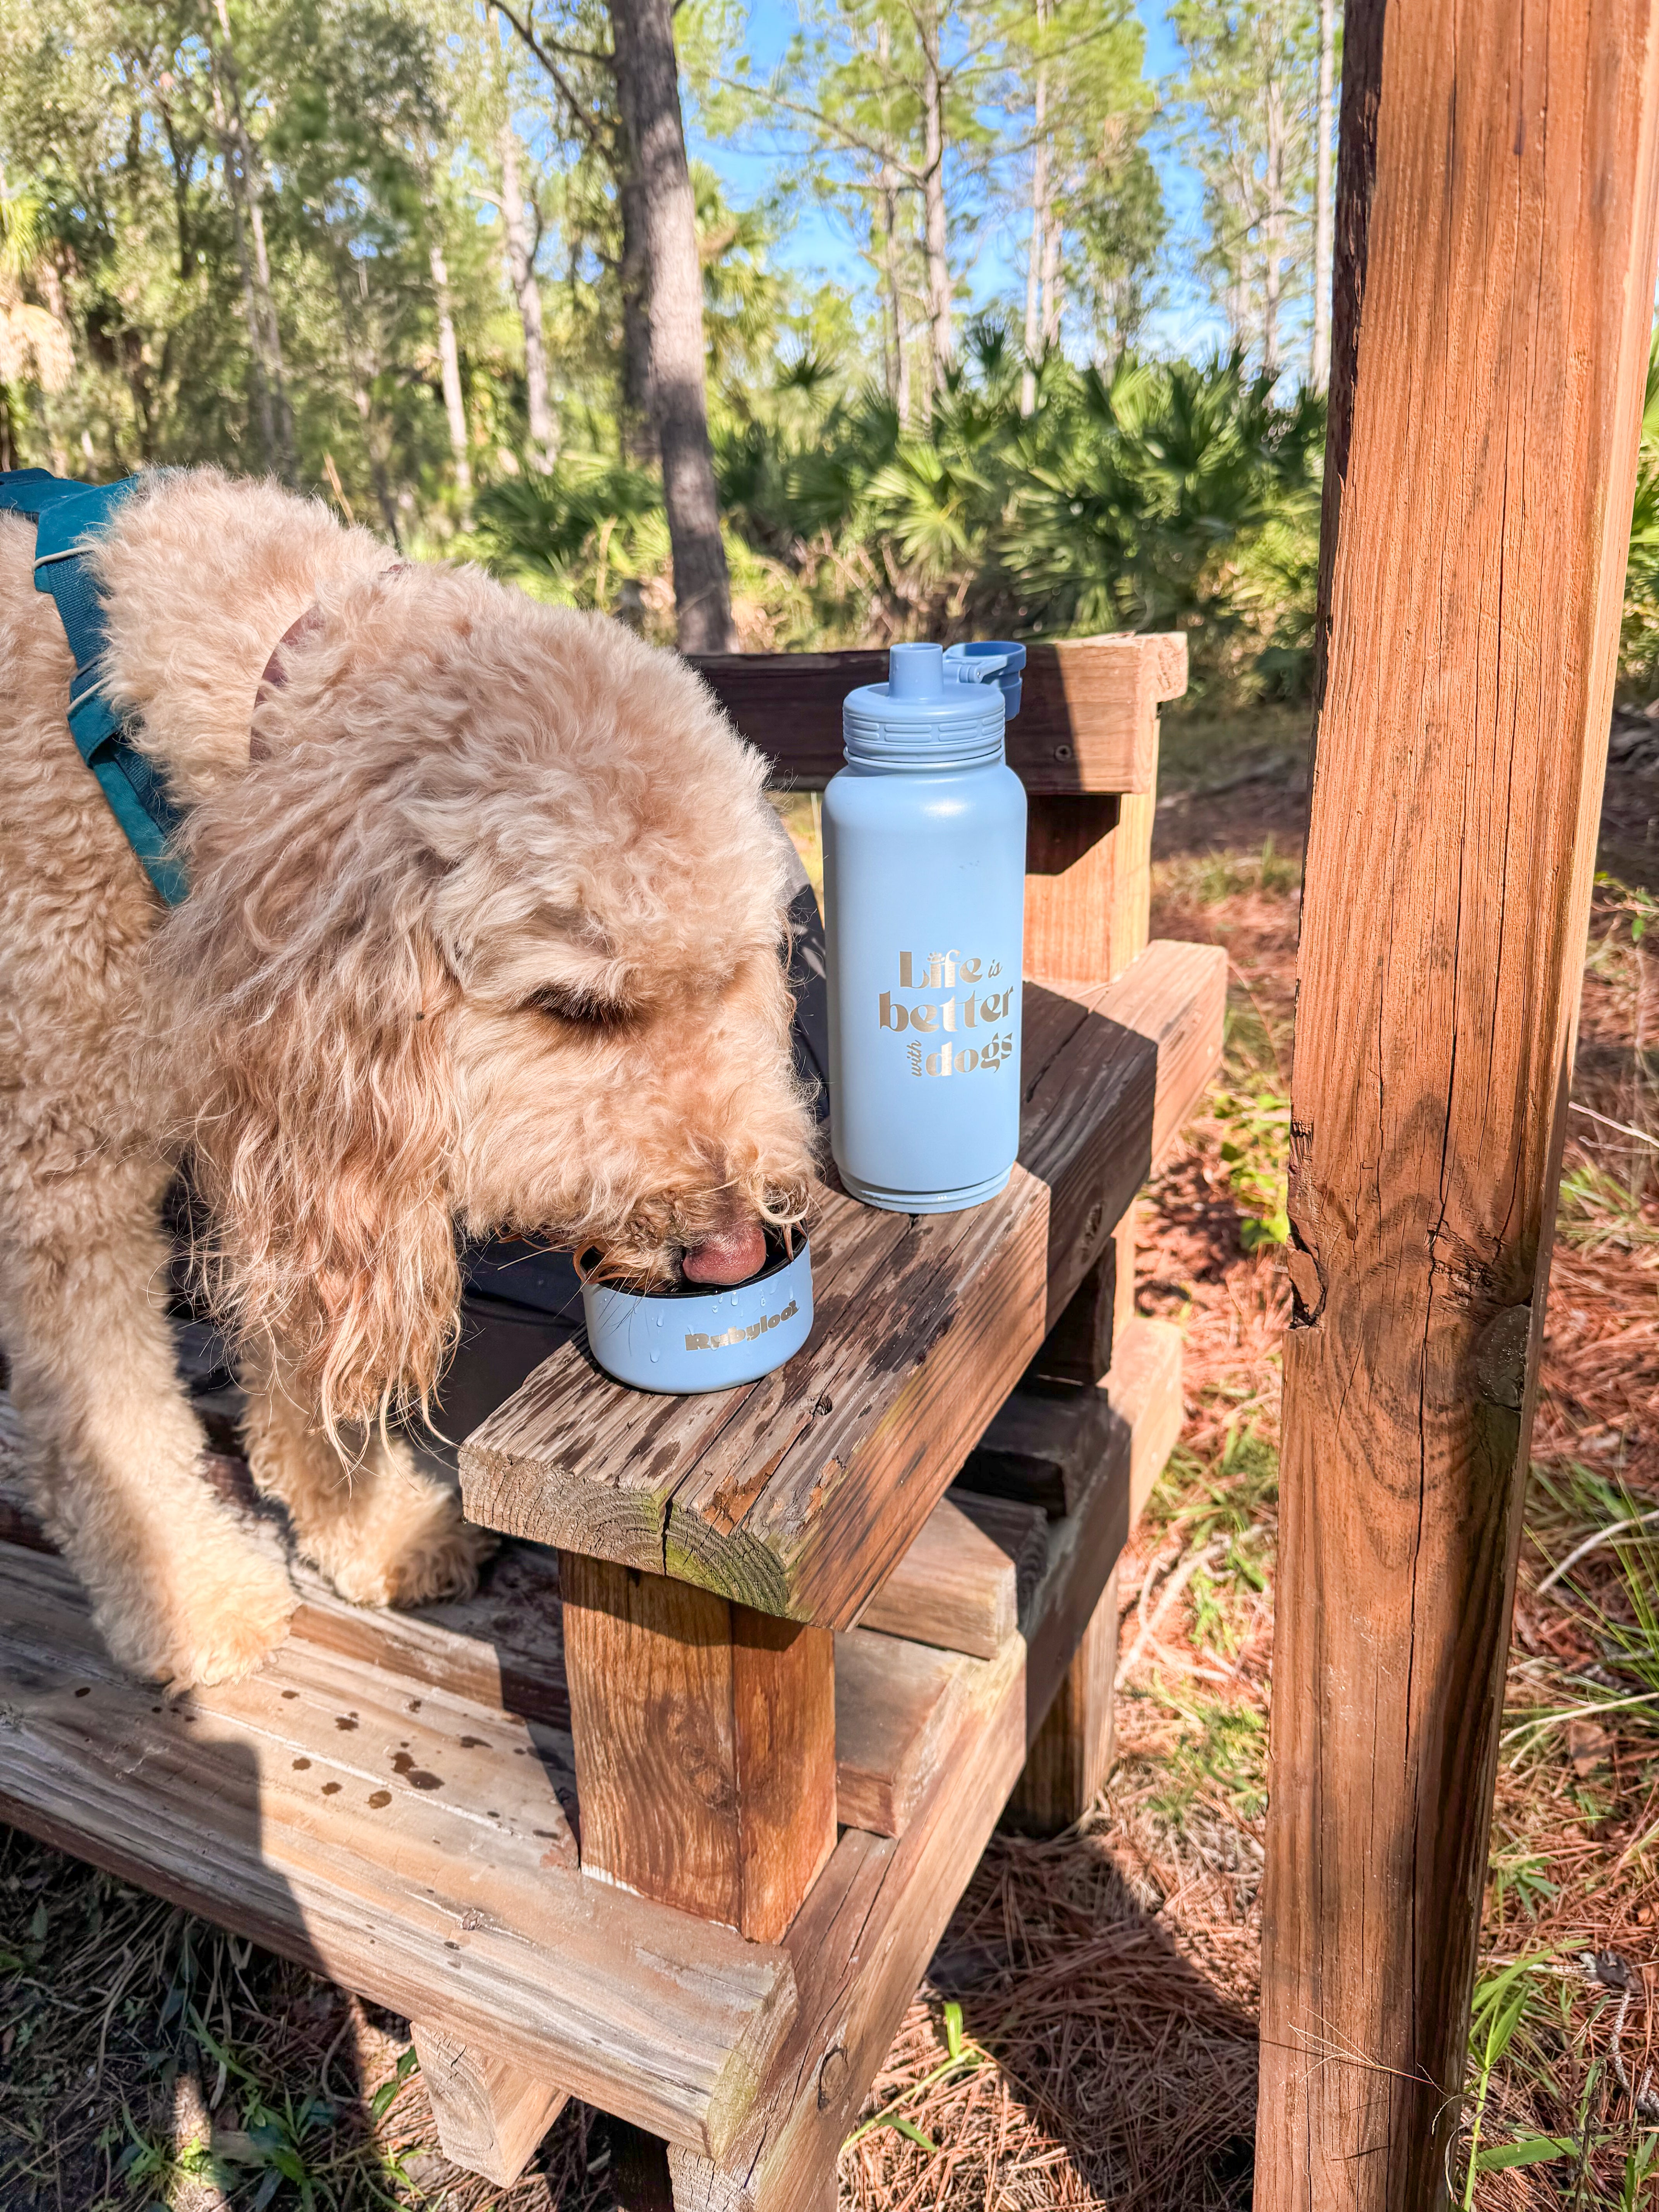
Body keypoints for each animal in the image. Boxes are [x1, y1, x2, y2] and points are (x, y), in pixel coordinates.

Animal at [0, 471, 818, 1690]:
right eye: (577, 1009)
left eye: (731, 976)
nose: (731, 1250)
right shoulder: (66, 1175)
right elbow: (110, 1423)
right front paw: (188, 1595)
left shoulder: (272, 1128)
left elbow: (305, 1352)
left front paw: (371, 1527)